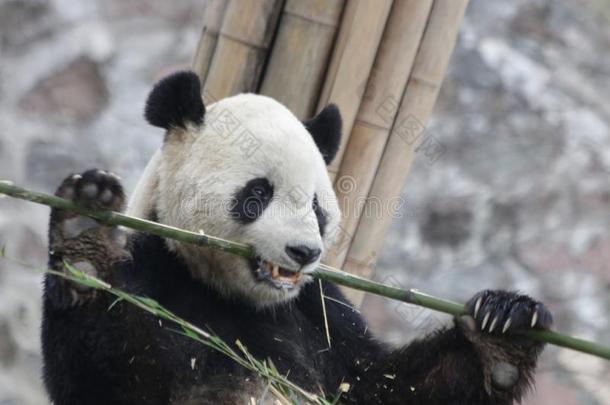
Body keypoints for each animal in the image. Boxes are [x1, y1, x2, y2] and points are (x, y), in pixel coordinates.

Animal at [40, 71, 548, 402]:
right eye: (257, 194)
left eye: (316, 208)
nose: (303, 252)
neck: (234, 297)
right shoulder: (155, 269)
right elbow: (100, 376)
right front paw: (87, 240)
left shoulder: (321, 312)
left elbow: (388, 387)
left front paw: (503, 328)